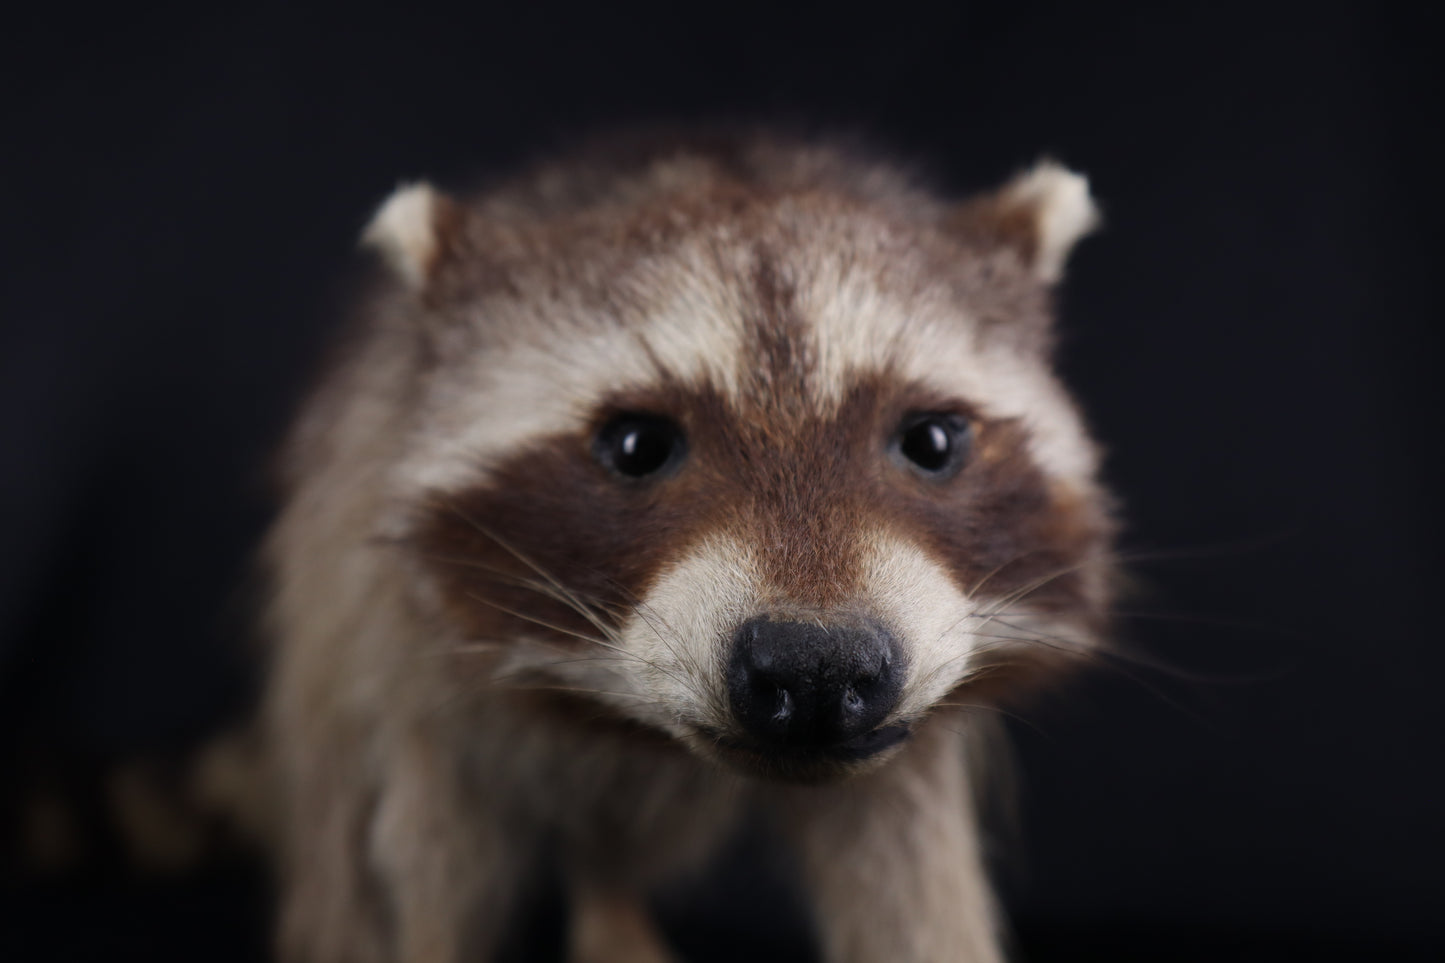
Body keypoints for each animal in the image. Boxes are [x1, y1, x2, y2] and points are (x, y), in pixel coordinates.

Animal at [262, 131, 1114, 963]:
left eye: (930, 440)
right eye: (637, 444)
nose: (815, 667)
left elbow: (912, 887)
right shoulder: (397, 652)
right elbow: (431, 870)